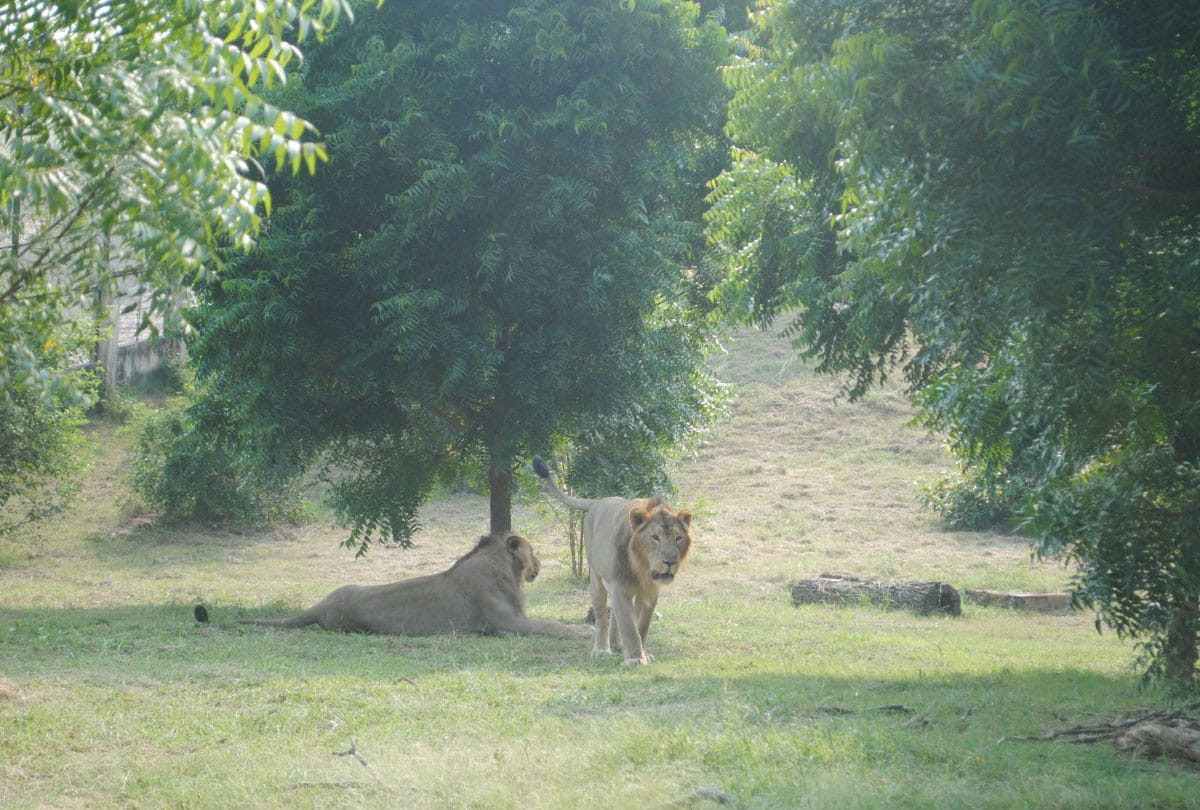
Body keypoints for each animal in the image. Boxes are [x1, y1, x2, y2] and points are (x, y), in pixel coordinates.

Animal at [241, 533, 589, 639]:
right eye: (534, 550)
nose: (540, 564)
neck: (506, 570)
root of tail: (321, 605)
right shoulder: (510, 621)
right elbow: (554, 626)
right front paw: (586, 631)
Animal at [533, 457, 693, 665]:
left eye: (678, 538)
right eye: (655, 537)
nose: (670, 561)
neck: (642, 567)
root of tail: (597, 502)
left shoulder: (649, 591)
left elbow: (642, 624)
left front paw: (642, 652)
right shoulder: (620, 585)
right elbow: (629, 626)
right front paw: (635, 658)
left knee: (615, 613)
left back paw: (617, 644)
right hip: (596, 577)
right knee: (601, 615)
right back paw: (602, 649)